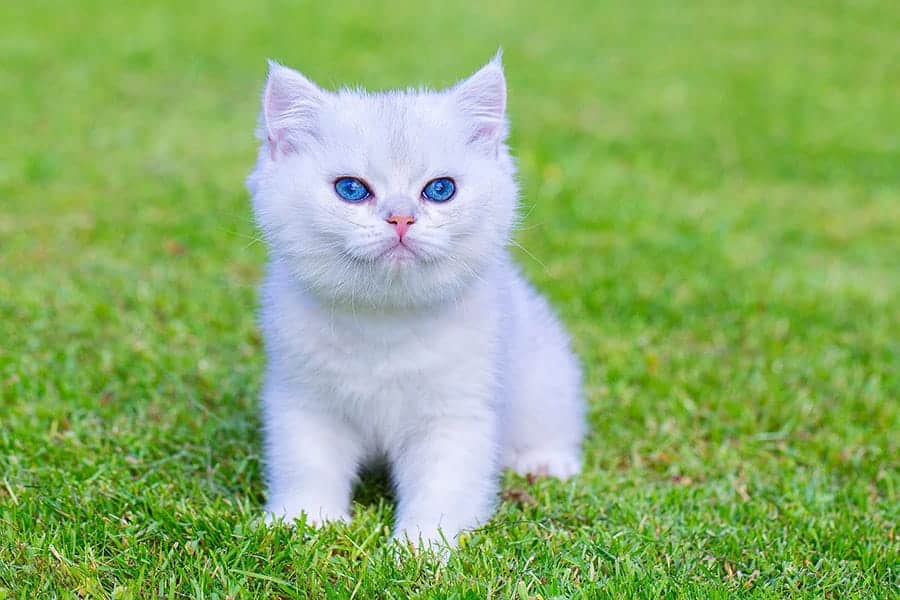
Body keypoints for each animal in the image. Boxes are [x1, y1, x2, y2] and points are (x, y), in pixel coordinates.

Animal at [244, 52, 584, 548]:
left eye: (440, 189)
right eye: (351, 189)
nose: (401, 218)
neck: (385, 322)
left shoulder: (457, 414)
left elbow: (442, 486)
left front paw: (418, 547)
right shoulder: (305, 399)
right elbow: (306, 463)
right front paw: (301, 521)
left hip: (543, 373)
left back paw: (544, 461)